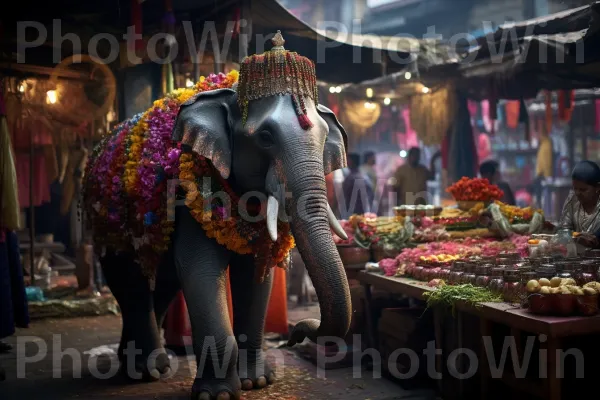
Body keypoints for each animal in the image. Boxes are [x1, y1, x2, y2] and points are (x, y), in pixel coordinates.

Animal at [80, 32, 352, 400]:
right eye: (265, 137)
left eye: (324, 138)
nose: (297, 331)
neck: (230, 94)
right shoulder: (187, 196)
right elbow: (200, 268)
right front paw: (218, 394)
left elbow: (257, 274)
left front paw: (256, 382)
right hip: (106, 223)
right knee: (129, 283)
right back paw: (146, 371)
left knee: (162, 283)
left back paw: (147, 364)